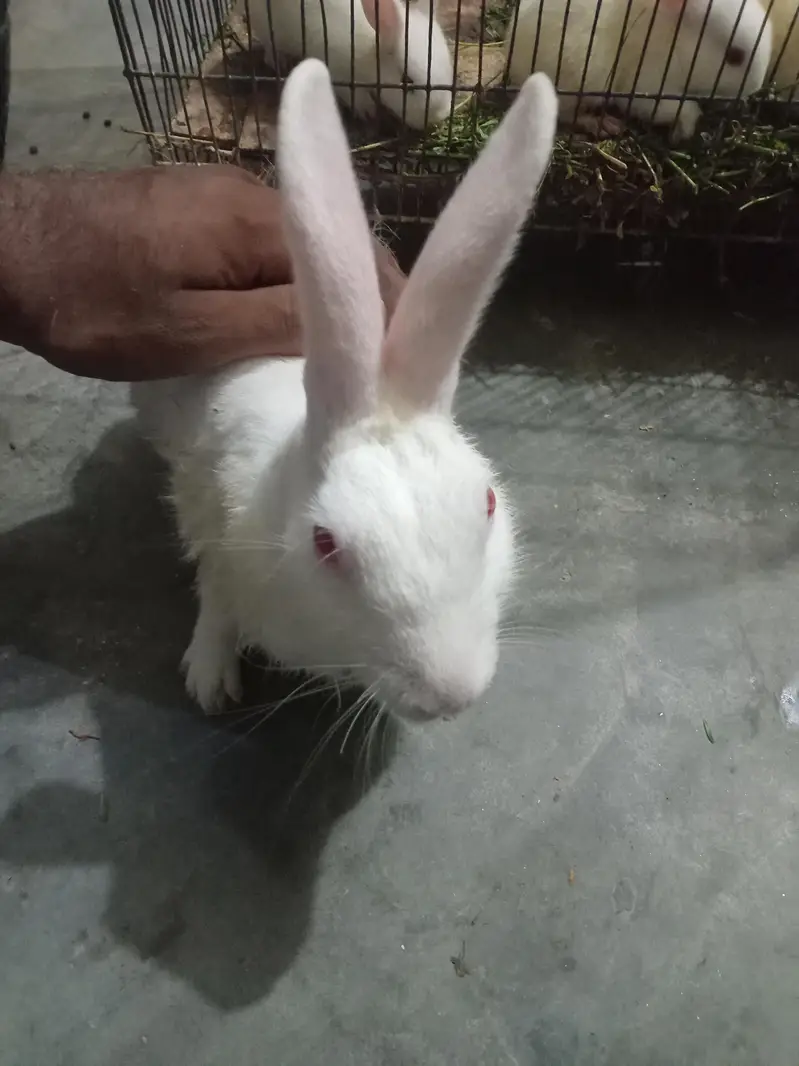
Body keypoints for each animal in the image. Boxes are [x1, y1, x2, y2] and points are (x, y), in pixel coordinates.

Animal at [130, 57, 557, 722]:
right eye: (325, 543)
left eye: (487, 502)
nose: (451, 695)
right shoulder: (209, 521)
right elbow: (214, 598)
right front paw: (210, 681)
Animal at [249, 0, 456, 130]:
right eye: (407, 81)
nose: (439, 116)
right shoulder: (337, 70)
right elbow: (353, 94)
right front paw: (368, 111)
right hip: (266, 27)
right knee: (269, 51)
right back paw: (280, 61)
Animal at [505, 0, 773, 140]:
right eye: (734, 56)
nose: (754, 88)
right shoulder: (647, 86)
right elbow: (685, 109)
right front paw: (683, 133)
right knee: (567, 114)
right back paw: (604, 124)